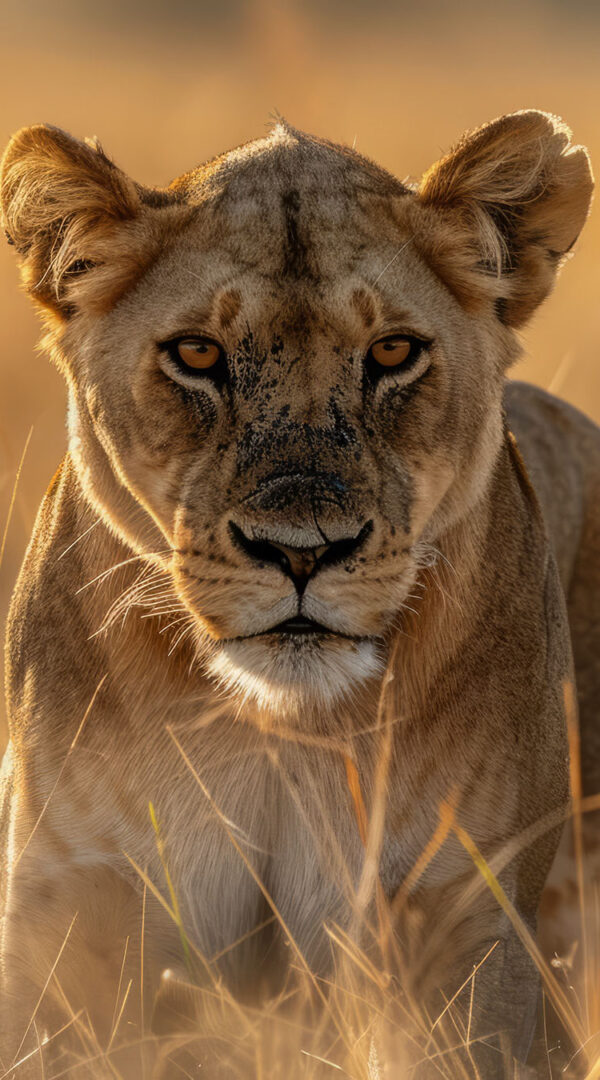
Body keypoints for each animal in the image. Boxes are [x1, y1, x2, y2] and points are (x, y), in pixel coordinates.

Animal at [0, 111, 598, 1078]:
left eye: (392, 352)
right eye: (197, 354)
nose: (302, 553)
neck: (278, 728)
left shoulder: (455, 913)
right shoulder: (75, 895)